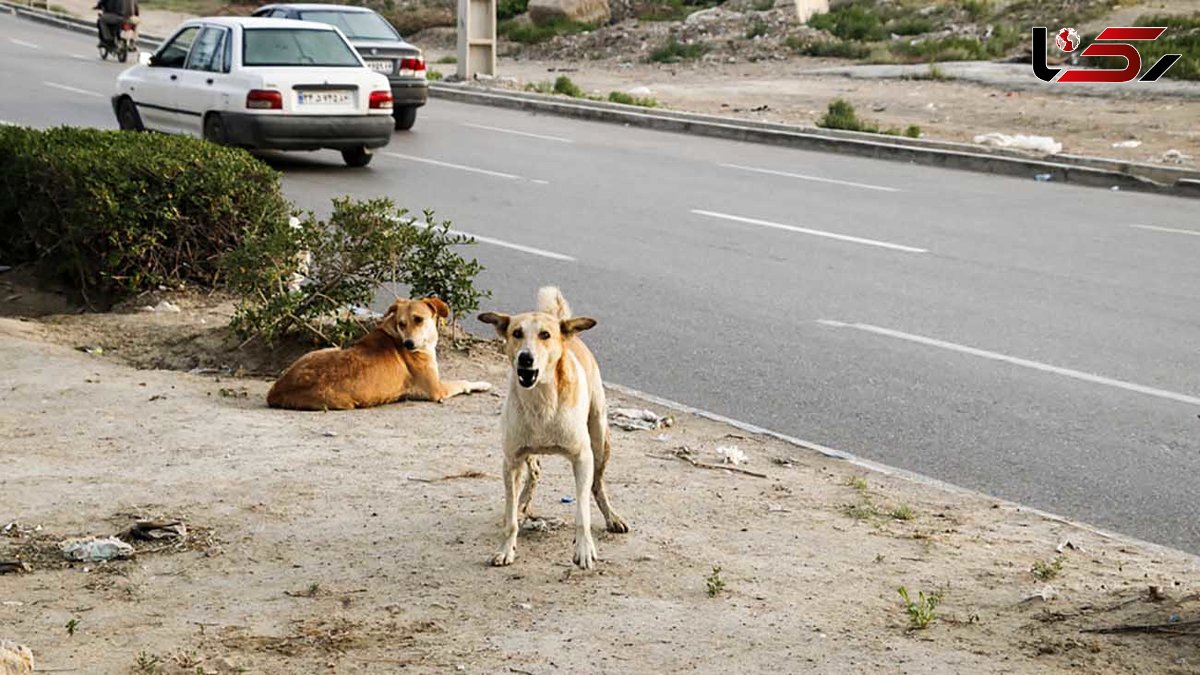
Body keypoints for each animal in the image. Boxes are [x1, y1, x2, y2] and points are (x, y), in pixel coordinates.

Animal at [268, 295, 492, 410]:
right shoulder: (438, 389)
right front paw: (482, 384)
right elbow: (463, 381)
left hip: (325, 349)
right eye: (402, 323)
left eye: (419, 319)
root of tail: (276, 391)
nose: (408, 344)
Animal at [477, 285, 628, 564]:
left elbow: (582, 512)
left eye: (545, 335)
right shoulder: (510, 460)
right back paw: (523, 503)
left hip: (600, 439)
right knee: (533, 473)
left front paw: (584, 549)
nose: (525, 358)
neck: (542, 400)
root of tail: (568, 330)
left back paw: (612, 517)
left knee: (597, 484)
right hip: (525, 453)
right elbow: (510, 517)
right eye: (516, 333)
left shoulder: (582, 458)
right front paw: (506, 547)